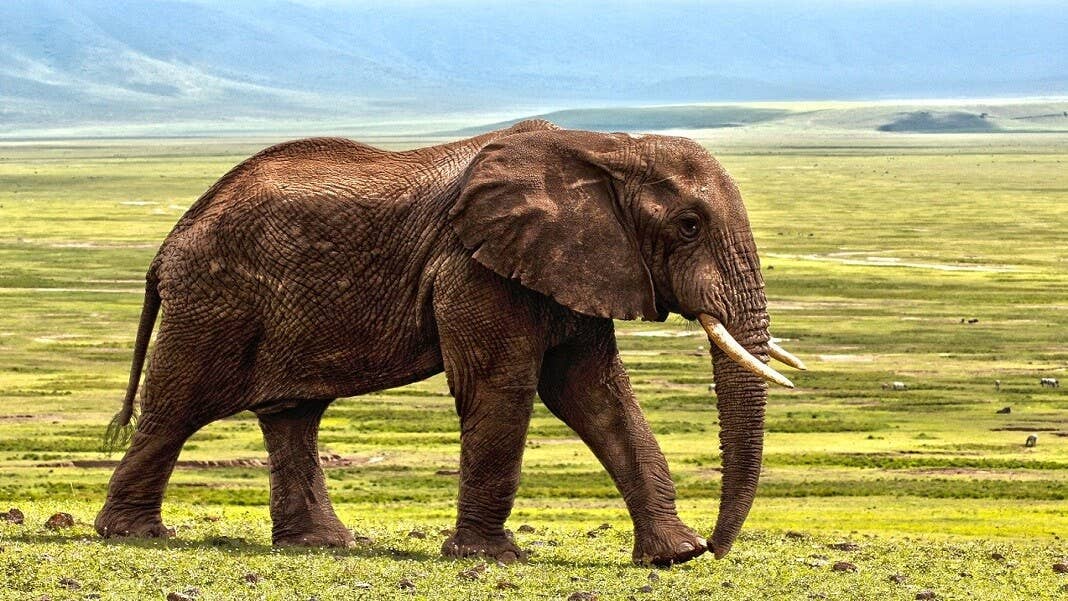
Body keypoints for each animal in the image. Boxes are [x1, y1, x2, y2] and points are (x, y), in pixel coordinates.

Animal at [95, 119, 804, 566]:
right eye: (689, 226)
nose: (718, 547)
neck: (603, 146)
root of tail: (170, 241)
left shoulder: (572, 265)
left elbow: (595, 394)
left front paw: (673, 557)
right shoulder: (474, 265)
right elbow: (503, 387)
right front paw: (492, 559)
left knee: (291, 414)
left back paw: (322, 546)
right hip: (214, 299)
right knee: (177, 407)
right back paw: (135, 537)